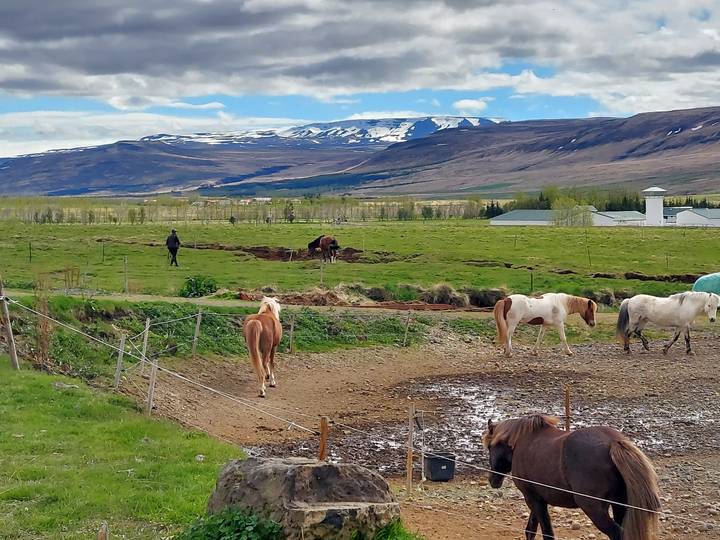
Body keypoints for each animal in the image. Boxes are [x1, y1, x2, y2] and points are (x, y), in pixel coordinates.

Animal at [484, 415, 660, 540]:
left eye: (490, 448)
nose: (492, 480)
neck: (521, 443)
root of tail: (613, 443)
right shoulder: (538, 499)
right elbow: (531, 530)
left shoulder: (532, 499)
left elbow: (546, 532)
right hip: (619, 504)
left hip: (594, 508)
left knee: (616, 533)